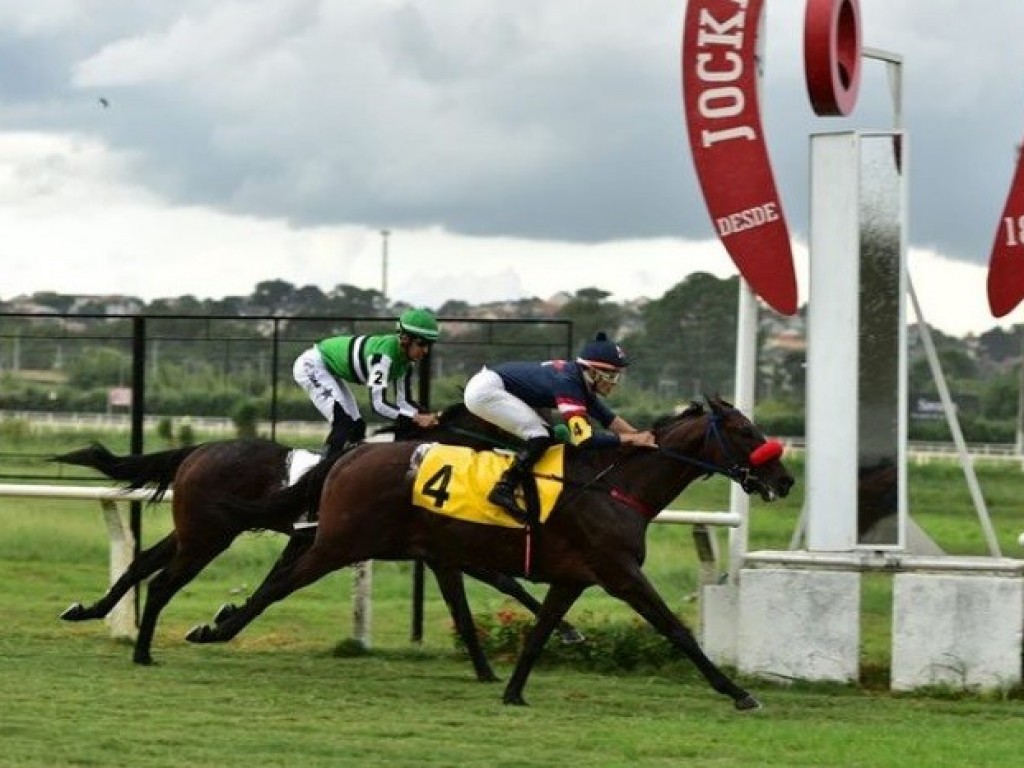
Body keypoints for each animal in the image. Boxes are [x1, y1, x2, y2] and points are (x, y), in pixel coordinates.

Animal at [54, 403, 585, 667]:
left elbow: (505, 581)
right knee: (157, 572)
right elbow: (504, 580)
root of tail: (198, 450)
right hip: (208, 535)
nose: (539, 449)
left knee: (142, 562)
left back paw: (88, 610)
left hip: (199, 530)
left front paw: (568, 629)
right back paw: (131, 638)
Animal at [186, 399, 790, 712]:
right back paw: (215, 629)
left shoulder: (575, 576)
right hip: (341, 543)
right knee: (277, 586)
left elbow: (541, 630)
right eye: (743, 429)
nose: (783, 479)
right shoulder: (619, 572)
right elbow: (675, 628)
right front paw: (738, 692)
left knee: (280, 575)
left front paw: (514, 689)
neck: (614, 485)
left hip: (346, 539)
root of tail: (351, 455)